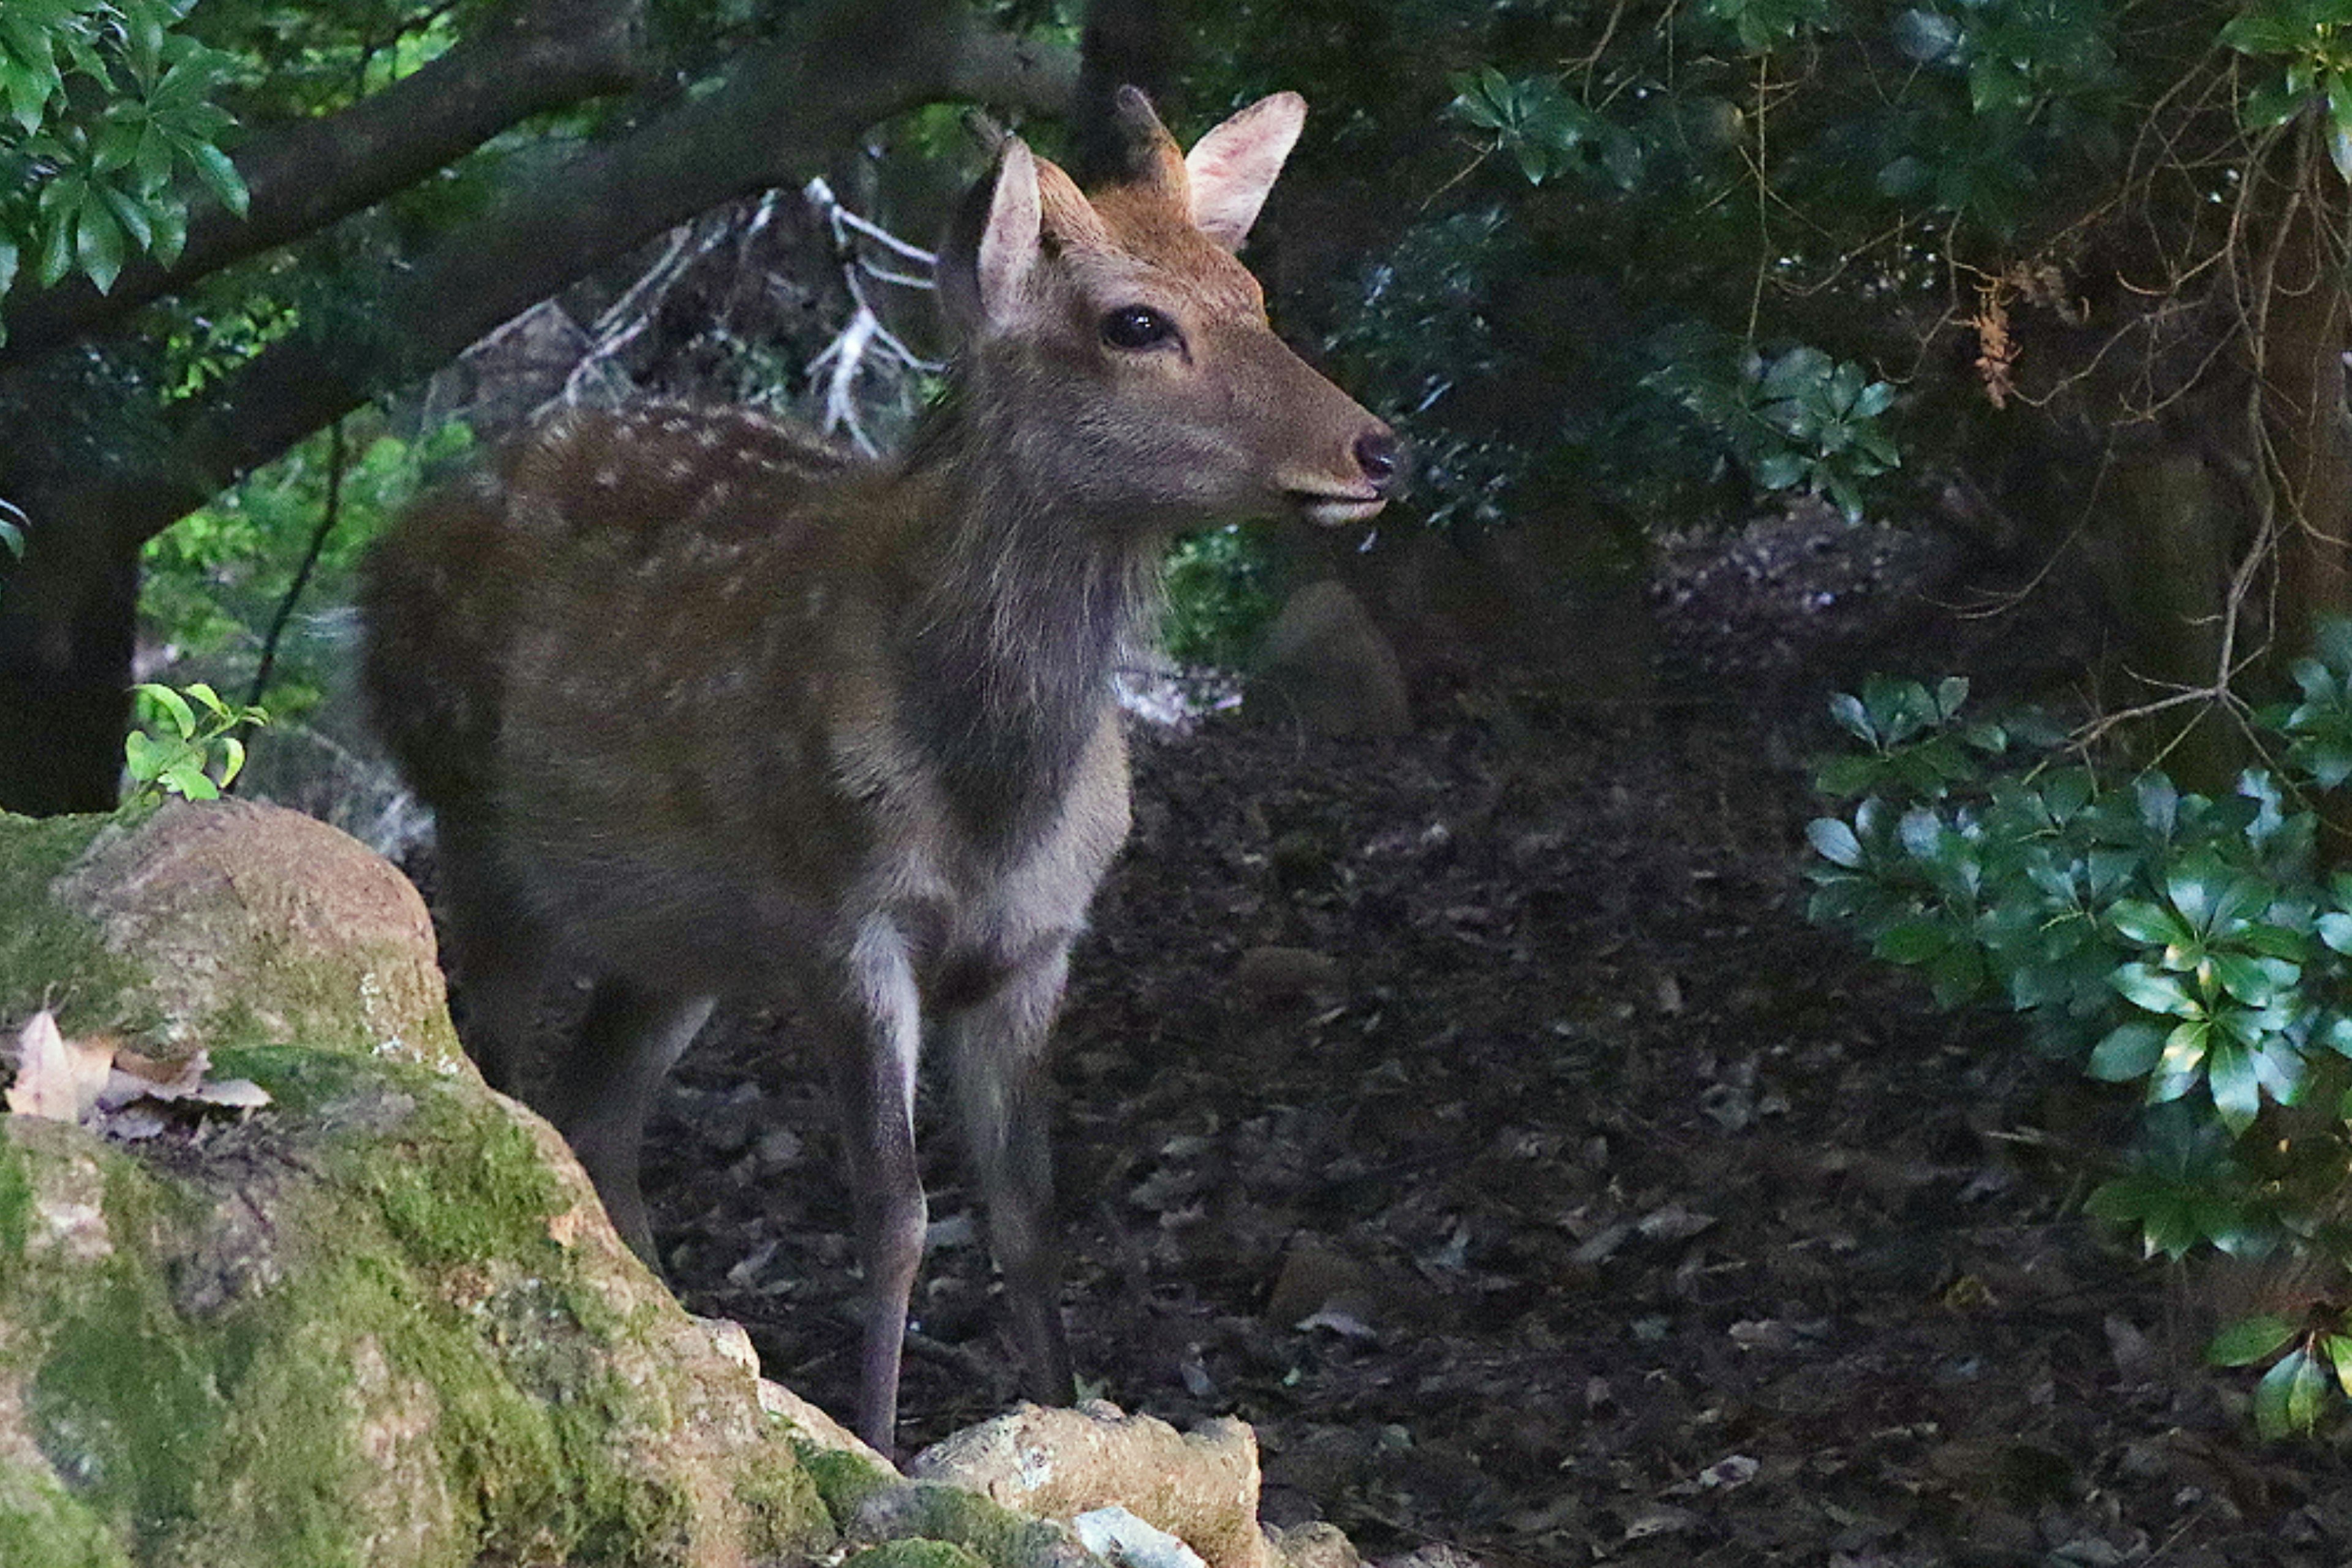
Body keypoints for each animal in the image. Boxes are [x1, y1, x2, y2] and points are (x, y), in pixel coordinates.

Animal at [360, 86, 1392, 1457]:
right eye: (1135, 322)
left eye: (1253, 291)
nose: (1379, 450)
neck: (992, 798)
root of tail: (381, 562)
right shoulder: (847, 926)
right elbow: (896, 1214)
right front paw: (886, 1443)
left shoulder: (1037, 942)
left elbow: (1027, 1213)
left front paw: (1065, 1410)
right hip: (478, 837)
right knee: (498, 1080)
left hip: (676, 942)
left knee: (596, 1109)